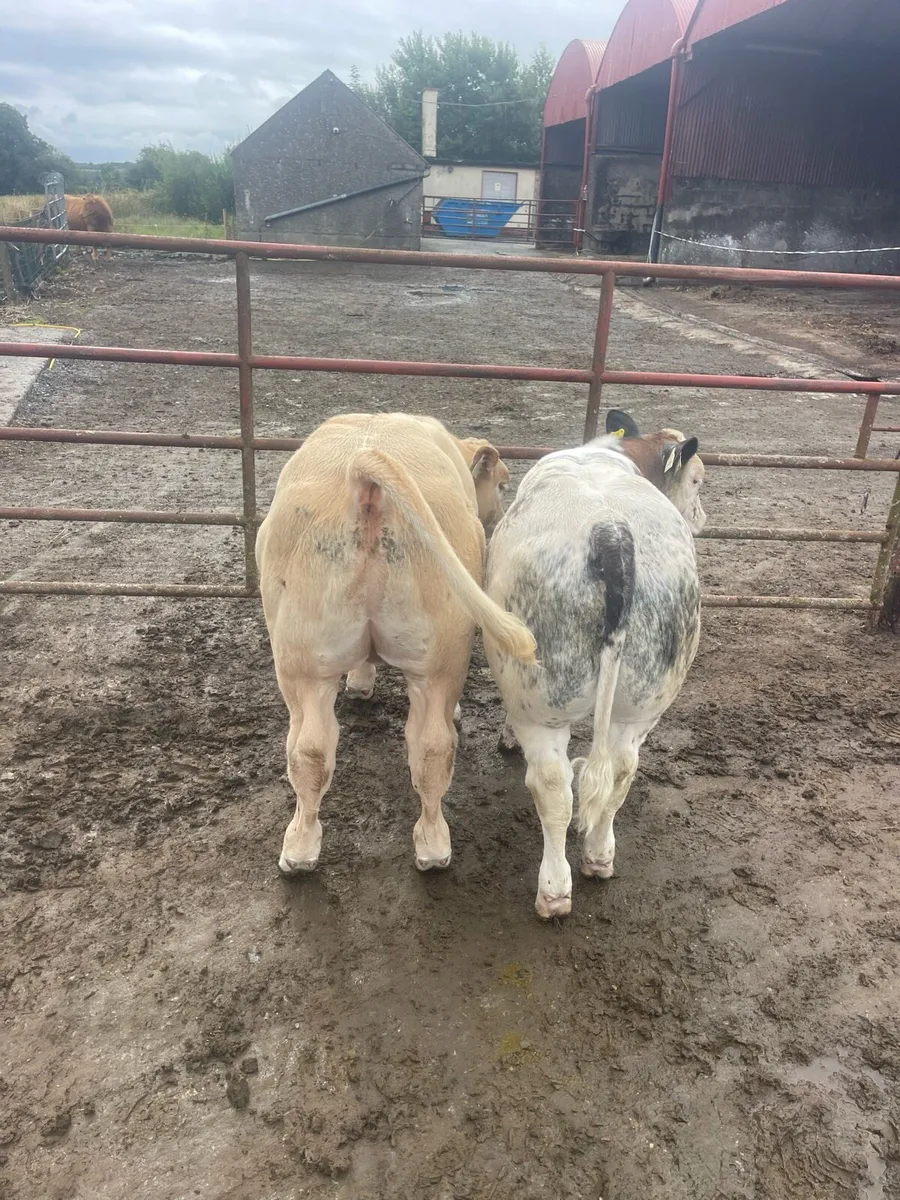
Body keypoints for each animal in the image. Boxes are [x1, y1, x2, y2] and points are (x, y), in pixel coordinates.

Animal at [256, 412, 536, 877]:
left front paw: (360, 682)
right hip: (406, 660)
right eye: (501, 483)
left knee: (331, 749)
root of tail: (363, 470)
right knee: (408, 746)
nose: (497, 518)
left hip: (311, 661)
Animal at [484, 409, 706, 919]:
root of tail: (610, 531)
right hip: (644, 699)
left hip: (542, 698)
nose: (703, 517)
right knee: (620, 770)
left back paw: (554, 890)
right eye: (697, 480)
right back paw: (599, 856)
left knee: (553, 787)